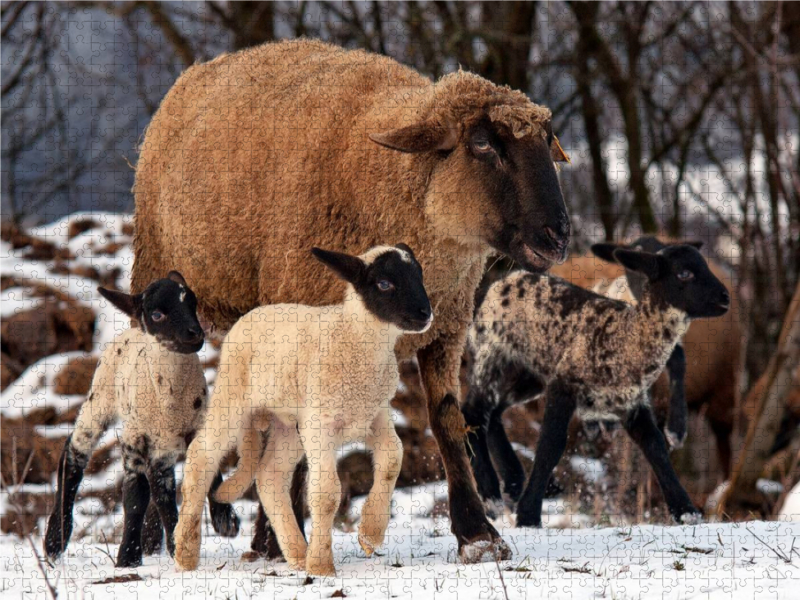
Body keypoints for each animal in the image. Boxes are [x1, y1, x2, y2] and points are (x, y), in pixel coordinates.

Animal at [131, 38, 572, 564]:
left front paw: (478, 534)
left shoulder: (445, 327)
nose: (558, 235)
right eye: (483, 144)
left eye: (547, 142)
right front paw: (276, 543)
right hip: (157, 285)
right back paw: (156, 537)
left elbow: (447, 419)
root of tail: (193, 76)